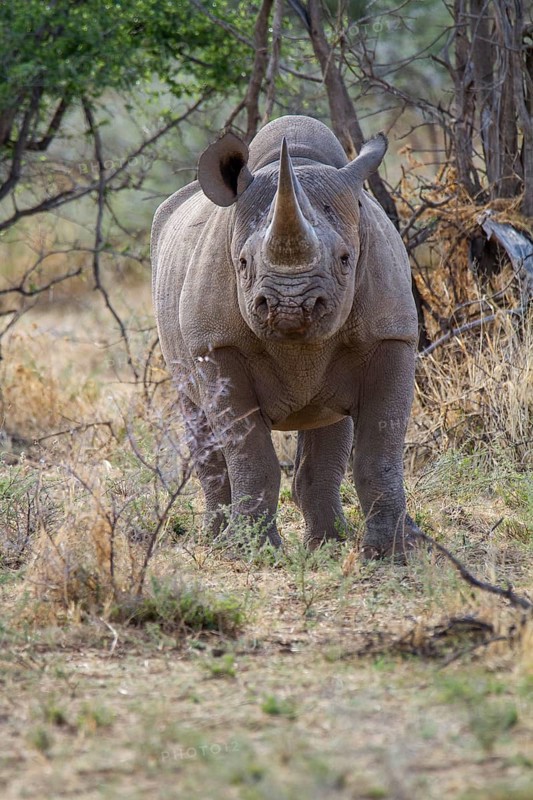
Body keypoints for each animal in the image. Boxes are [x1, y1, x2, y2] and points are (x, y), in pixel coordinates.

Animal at [151, 115, 421, 558]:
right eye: (243, 263)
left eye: (345, 259)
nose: (290, 307)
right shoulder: (216, 344)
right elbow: (250, 452)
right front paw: (249, 552)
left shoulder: (391, 335)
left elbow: (379, 448)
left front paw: (393, 552)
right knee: (196, 413)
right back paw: (215, 539)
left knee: (329, 419)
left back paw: (328, 544)